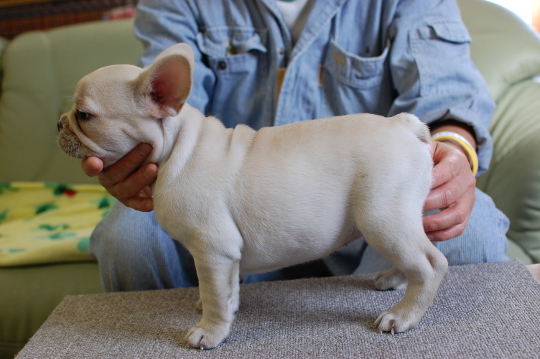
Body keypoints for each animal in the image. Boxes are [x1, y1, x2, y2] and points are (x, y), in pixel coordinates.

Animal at [58, 43, 448, 350]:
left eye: (85, 115)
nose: (59, 123)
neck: (177, 149)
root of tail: (403, 125)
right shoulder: (224, 256)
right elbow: (225, 291)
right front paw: (220, 310)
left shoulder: (213, 250)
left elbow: (215, 295)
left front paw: (209, 332)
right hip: (397, 220)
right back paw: (393, 279)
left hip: (382, 218)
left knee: (431, 264)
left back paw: (402, 316)